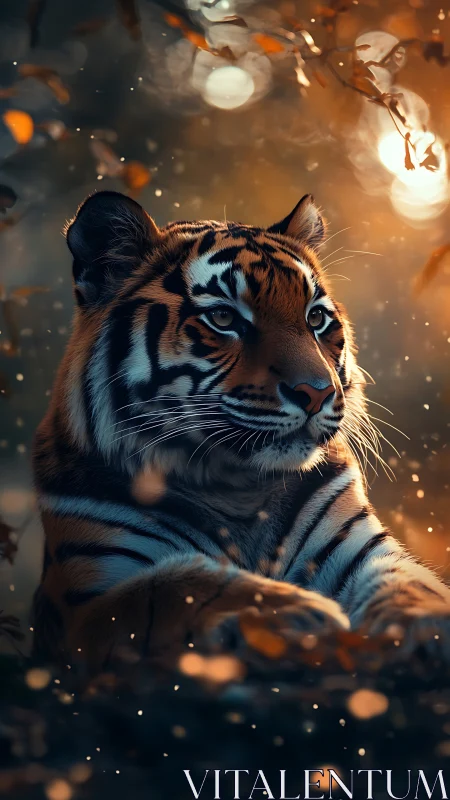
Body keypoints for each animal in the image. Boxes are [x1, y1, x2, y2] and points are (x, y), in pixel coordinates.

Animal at [32, 189, 450, 671]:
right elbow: (173, 586)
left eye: (316, 318)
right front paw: (296, 614)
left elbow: (409, 581)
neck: (236, 490)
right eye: (223, 318)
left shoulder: (361, 549)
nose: (317, 392)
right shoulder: (87, 599)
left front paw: (428, 622)